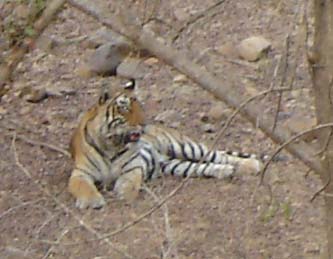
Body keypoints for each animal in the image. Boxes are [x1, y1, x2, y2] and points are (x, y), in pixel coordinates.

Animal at [68, 78, 262, 209]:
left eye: (140, 106)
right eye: (125, 108)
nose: (144, 125)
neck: (112, 144)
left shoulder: (134, 166)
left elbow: (131, 180)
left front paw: (124, 192)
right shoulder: (80, 172)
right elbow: (82, 186)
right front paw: (92, 201)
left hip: (186, 147)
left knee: (220, 155)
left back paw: (252, 165)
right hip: (174, 165)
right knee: (203, 166)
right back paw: (225, 171)